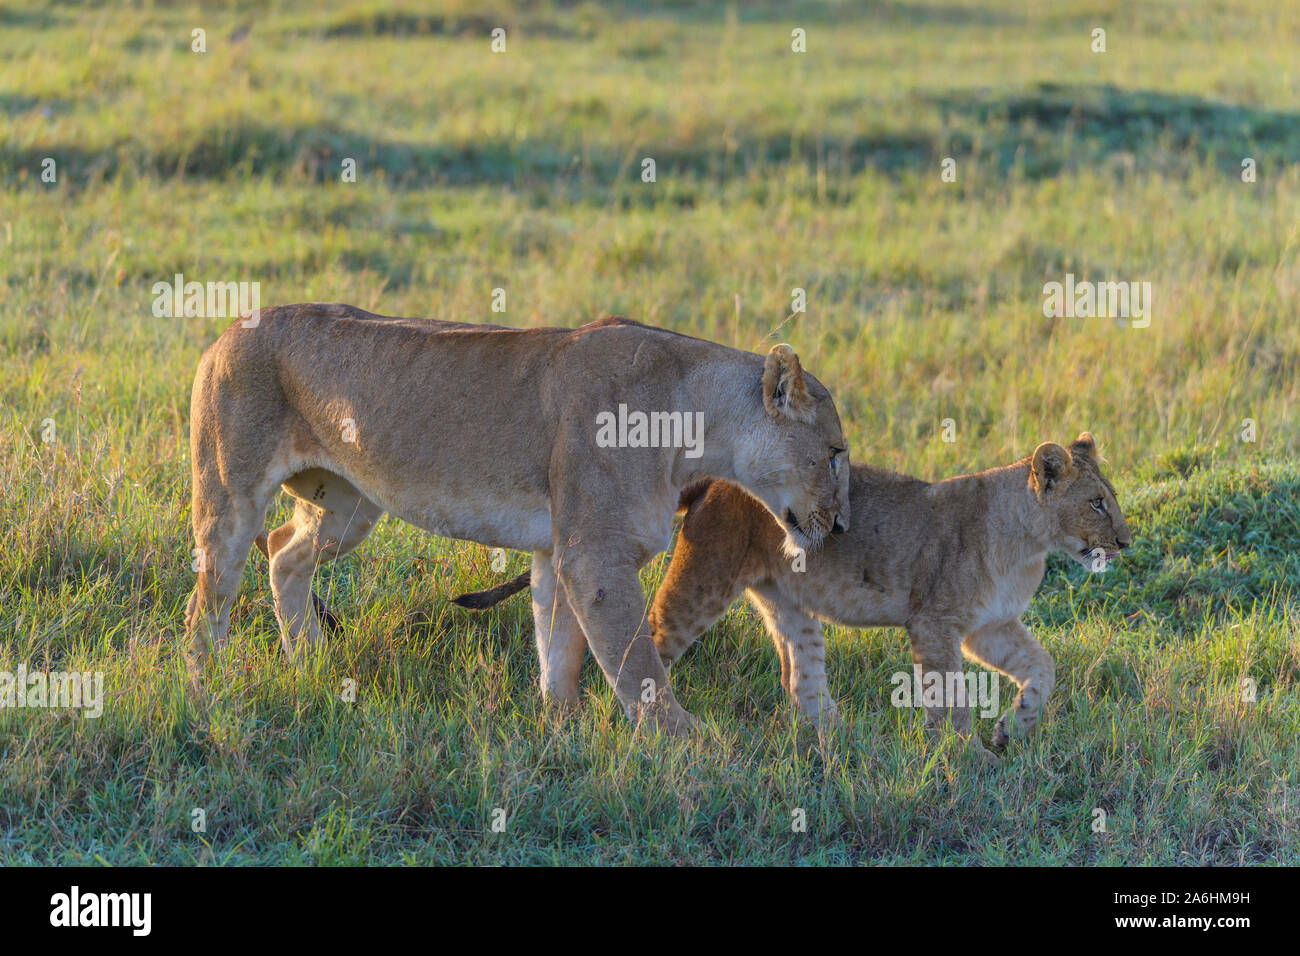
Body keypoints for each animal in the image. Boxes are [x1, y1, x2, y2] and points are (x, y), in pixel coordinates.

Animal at [185, 304, 850, 735]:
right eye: (836, 453)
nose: (842, 527)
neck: (696, 421)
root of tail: (229, 329)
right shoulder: (594, 555)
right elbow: (636, 662)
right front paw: (686, 741)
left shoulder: (560, 550)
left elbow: (559, 646)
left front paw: (563, 726)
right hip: (231, 493)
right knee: (209, 596)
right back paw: (206, 685)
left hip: (349, 504)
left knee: (283, 551)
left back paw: (310, 660)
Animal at [455, 432, 1130, 755]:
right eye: (1097, 502)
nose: (1125, 541)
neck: (1031, 544)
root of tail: (717, 478)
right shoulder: (936, 623)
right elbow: (951, 698)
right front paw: (967, 757)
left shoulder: (989, 626)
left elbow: (1043, 668)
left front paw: (1013, 730)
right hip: (703, 583)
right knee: (644, 646)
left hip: (787, 602)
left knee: (799, 679)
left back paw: (838, 742)